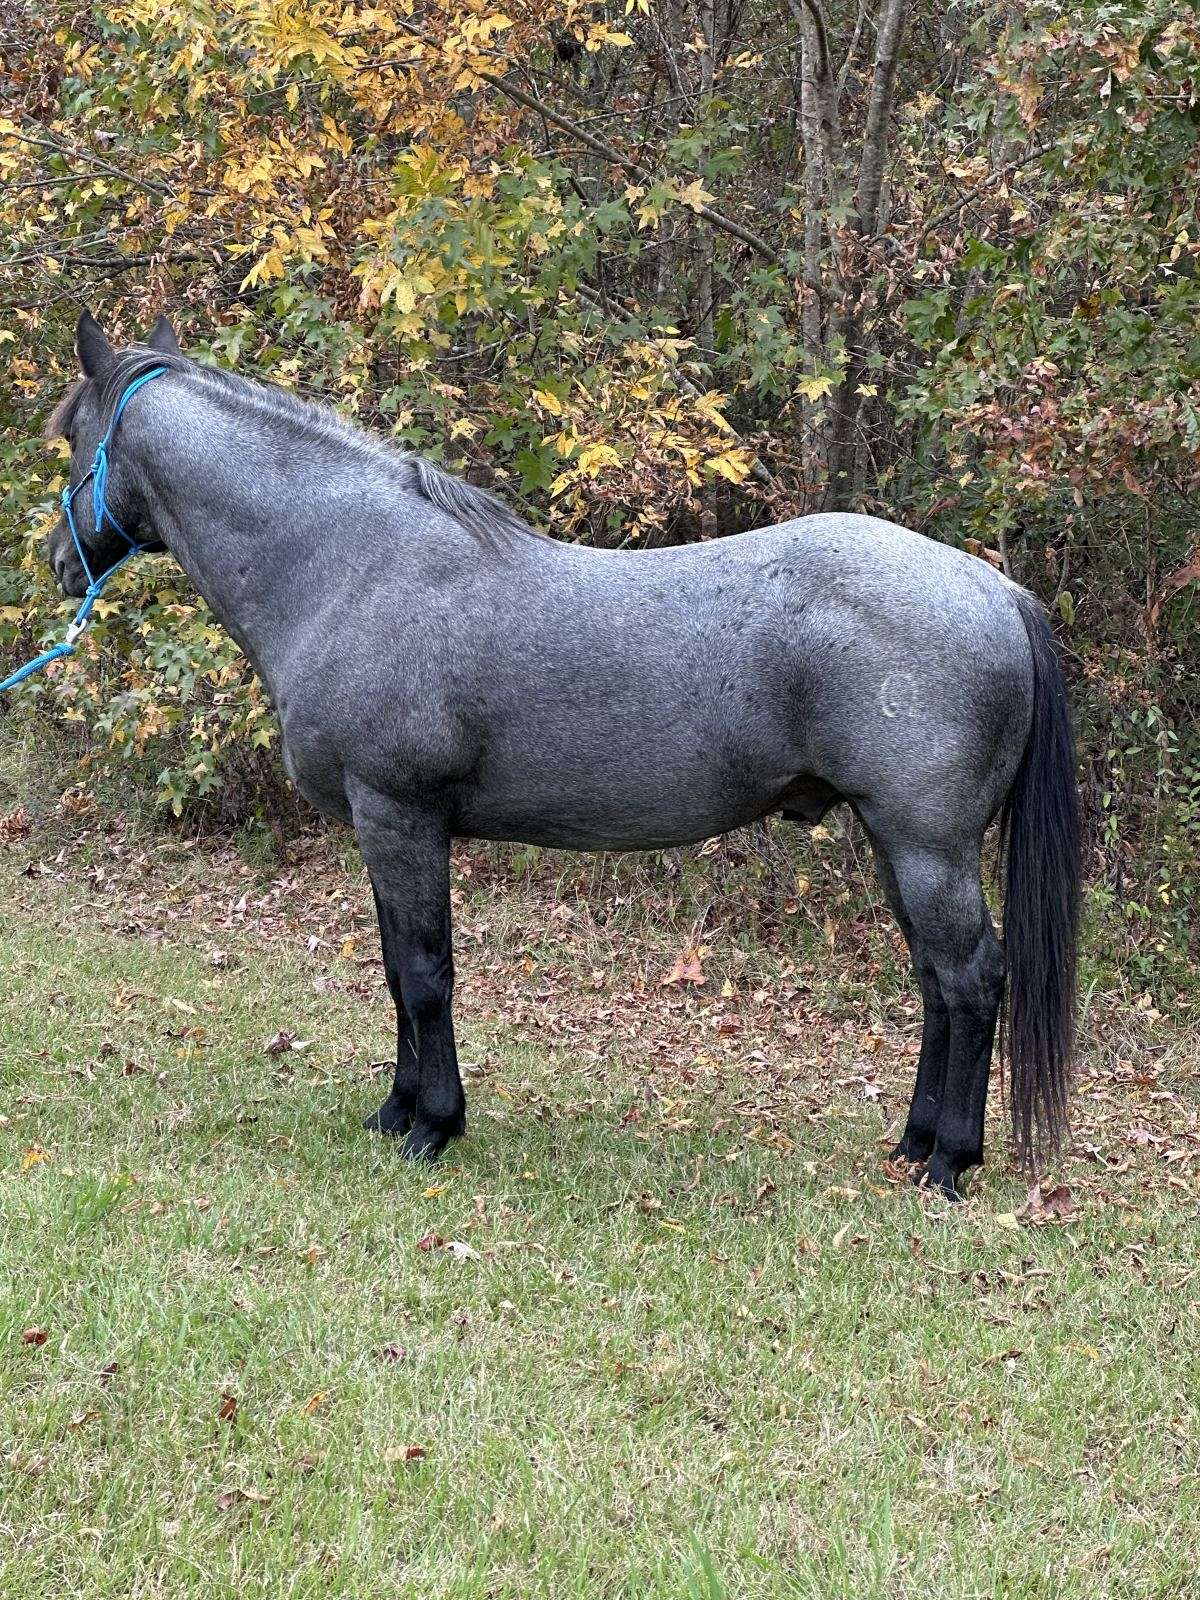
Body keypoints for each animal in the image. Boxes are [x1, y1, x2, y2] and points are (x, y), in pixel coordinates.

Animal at [41, 309, 1080, 1199]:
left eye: (69, 438)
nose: (56, 561)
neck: (351, 568)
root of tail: (995, 590)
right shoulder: (383, 830)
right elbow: (396, 970)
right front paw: (395, 1113)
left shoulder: (399, 815)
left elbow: (425, 971)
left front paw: (434, 1127)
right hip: (892, 842)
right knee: (937, 985)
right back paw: (911, 1145)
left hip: (926, 846)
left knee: (971, 979)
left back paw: (948, 1162)